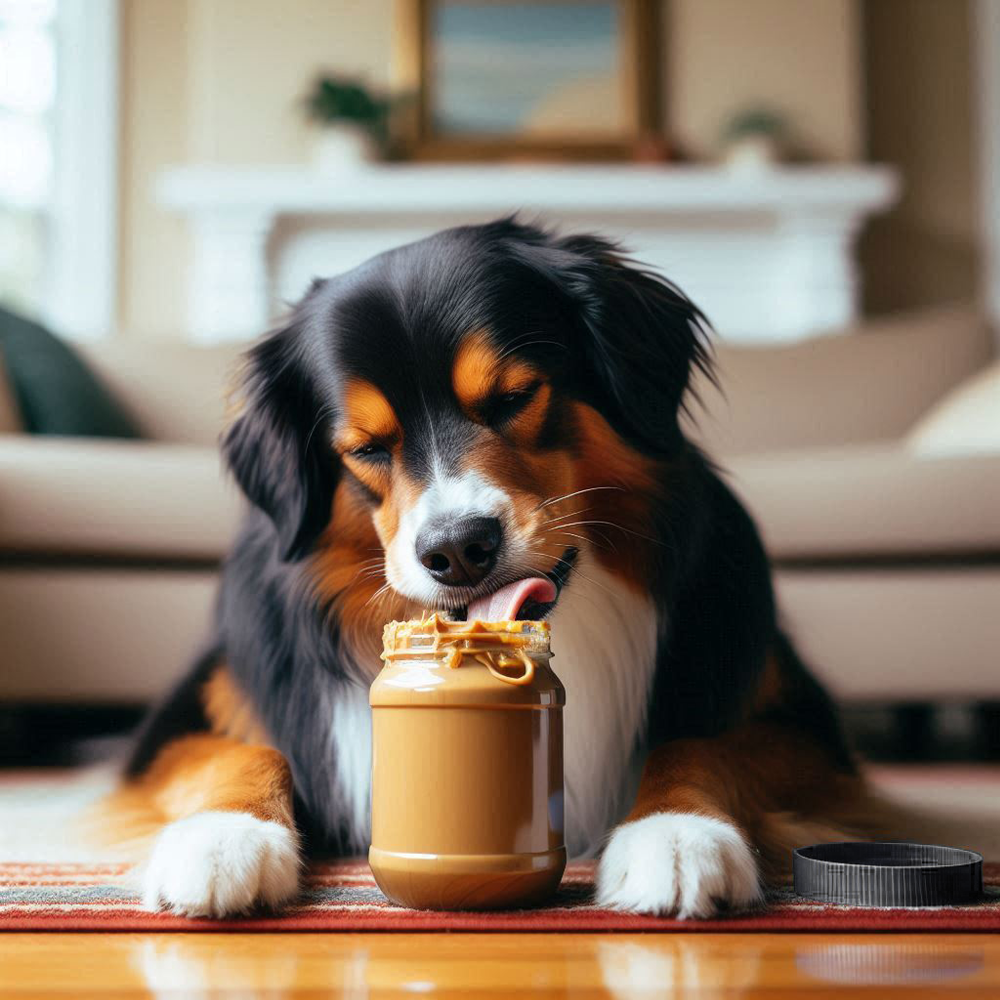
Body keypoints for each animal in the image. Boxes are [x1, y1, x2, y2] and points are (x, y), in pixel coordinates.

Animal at [105, 217, 880, 916]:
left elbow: (700, 743)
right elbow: (243, 752)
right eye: (366, 447)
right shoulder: (182, 717)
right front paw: (220, 837)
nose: (456, 549)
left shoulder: (806, 726)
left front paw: (678, 832)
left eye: (513, 398)